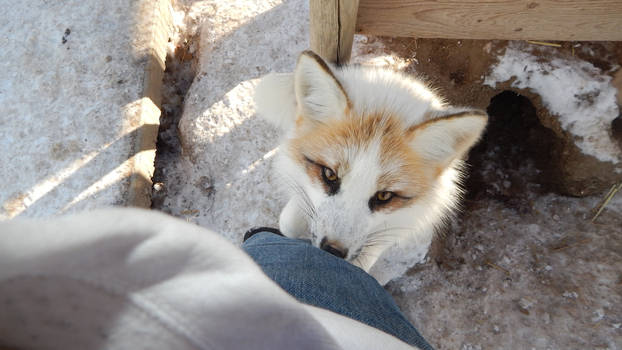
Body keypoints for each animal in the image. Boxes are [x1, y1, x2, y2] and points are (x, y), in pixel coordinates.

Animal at [254, 50, 488, 284]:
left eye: (384, 196)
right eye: (329, 175)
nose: (332, 250)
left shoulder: (398, 224)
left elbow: (364, 261)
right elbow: (289, 221)